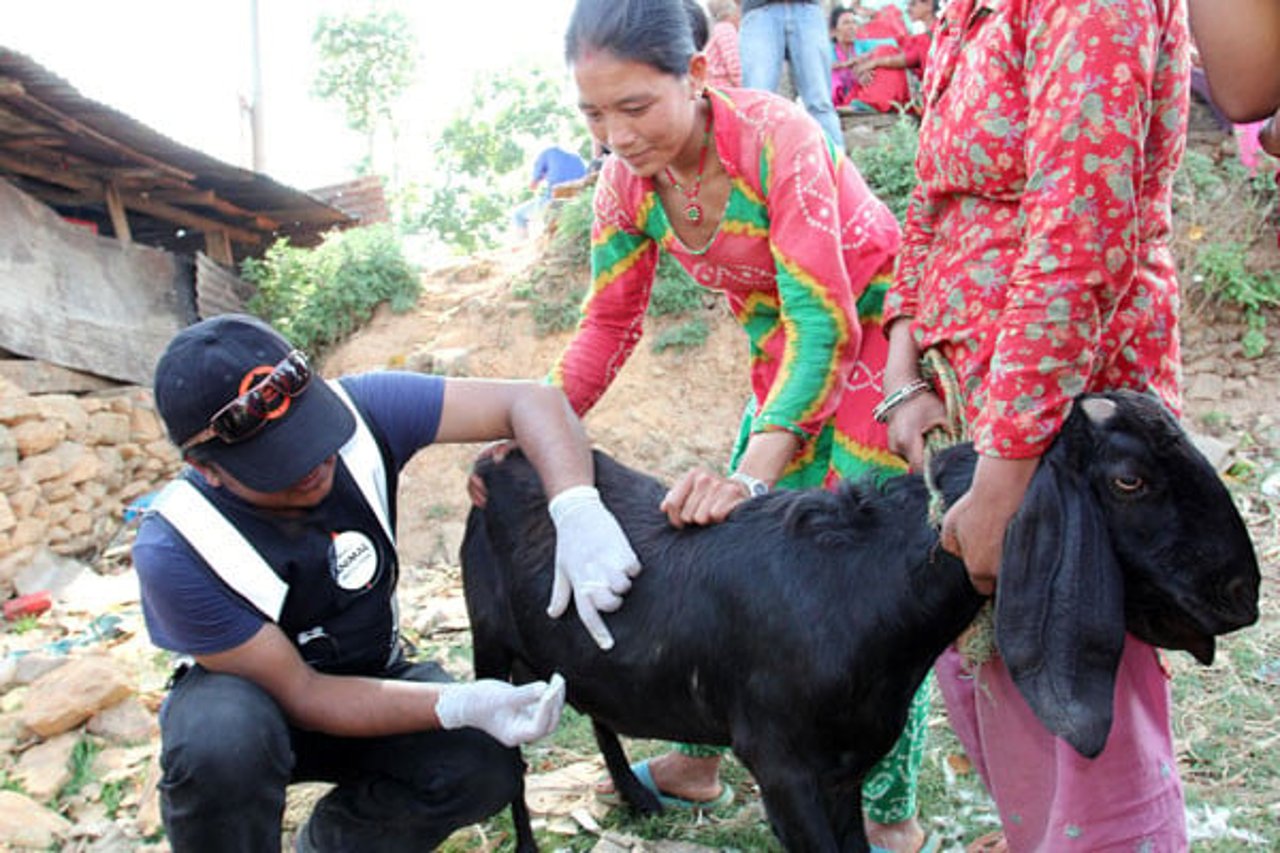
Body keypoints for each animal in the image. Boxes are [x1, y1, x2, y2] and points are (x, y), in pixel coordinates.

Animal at [463, 389, 1259, 845]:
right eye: (1129, 480)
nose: (1242, 592)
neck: (863, 590)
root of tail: (501, 460)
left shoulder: (843, 769)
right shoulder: (783, 768)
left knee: (590, 695)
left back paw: (634, 795)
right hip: (487, 636)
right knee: (506, 753)